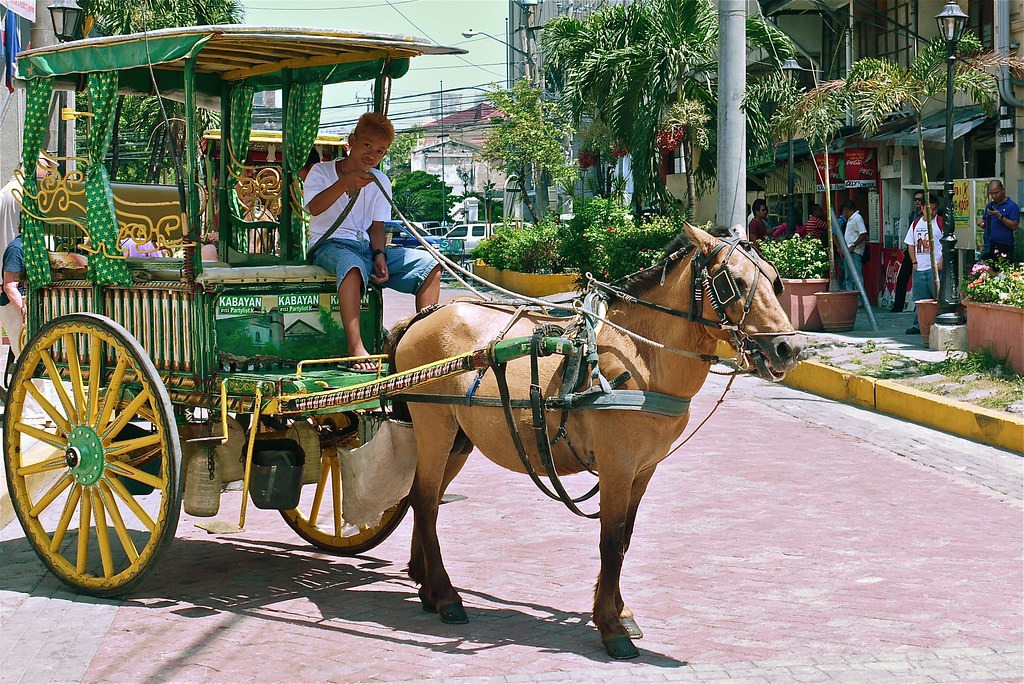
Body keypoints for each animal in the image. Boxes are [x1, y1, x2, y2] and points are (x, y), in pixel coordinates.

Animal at [387, 223, 802, 655]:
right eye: (731, 282)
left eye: (776, 281)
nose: (789, 348)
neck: (641, 356)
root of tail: (421, 318)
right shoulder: (617, 464)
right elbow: (611, 539)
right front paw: (611, 627)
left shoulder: (644, 468)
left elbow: (626, 538)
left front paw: (621, 613)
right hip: (434, 426)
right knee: (426, 502)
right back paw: (446, 595)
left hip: (458, 438)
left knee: (426, 498)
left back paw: (427, 586)